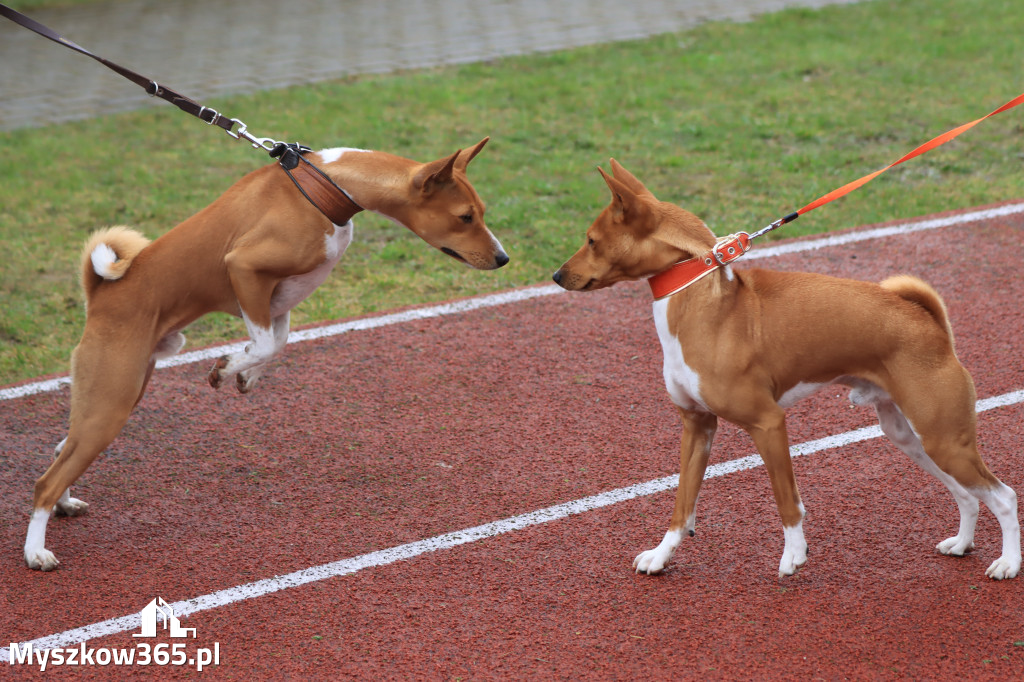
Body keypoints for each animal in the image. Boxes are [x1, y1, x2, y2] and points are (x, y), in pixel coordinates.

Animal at [29, 138, 512, 569]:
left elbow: (276, 343)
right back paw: (36, 552)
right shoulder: (244, 268)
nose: (504, 258)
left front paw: (247, 374)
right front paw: (229, 368)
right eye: (465, 217)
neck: (325, 188)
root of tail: (100, 295)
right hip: (110, 404)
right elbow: (264, 342)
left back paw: (65, 505)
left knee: (62, 449)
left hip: (117, 398)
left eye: (482, 212)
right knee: (45, 482)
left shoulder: (277, 297)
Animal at [557, 159, 1019, 577]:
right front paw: (660, 556)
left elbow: (787, 501)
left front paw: (794, 556)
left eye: (591, 240)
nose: (557, 275)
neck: (698, 303)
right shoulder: (697, 425)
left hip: (944, 438)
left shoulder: (768, 422)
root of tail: (930, 324)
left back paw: (1008, 564)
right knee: (967, 495)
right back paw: (962, 543)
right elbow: (682, 506)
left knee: (1004, 496)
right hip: (911, 436)